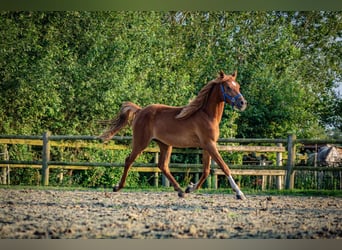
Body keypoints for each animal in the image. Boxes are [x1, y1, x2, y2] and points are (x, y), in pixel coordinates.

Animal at [100, 70, 247, 199]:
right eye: (228, 87)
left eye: (238, 86)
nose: (242, 103)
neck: (206, 115)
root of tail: (140, 110)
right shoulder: (209, 144)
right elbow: (224, 167)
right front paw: (239, 193)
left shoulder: (207, 146)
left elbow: (205, 171)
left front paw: (190, 188)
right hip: (141, 142)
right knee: (129, 160)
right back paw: (118, 187)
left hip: (165, 145)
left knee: (162, 166)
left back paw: (180, 190)